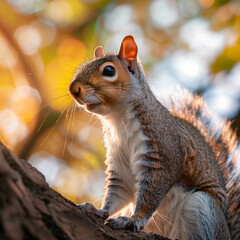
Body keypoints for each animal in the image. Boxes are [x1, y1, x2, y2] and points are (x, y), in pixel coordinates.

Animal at [68, 35, 240, 240]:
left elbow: (151, 194)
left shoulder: (163, 153)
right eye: (80, 67)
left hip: (202, 207)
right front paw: (99, 211)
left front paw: (133, 220)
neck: (118, 120)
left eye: (109, 70)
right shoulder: (119, 160)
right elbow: (119, 190)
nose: (73, 89)